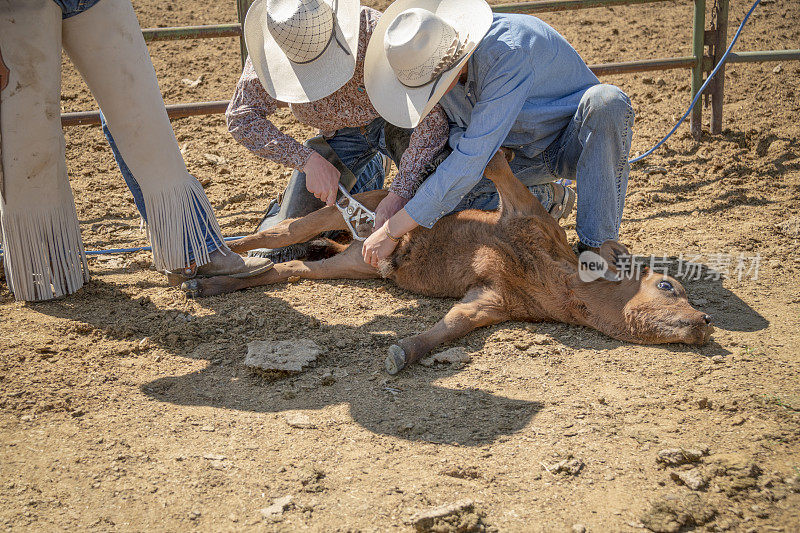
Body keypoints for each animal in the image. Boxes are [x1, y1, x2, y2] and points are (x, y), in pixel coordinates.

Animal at [184, 152, 716, 372]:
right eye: (667, 286)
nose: (705, 321)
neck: (557, 276)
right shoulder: (523, 213)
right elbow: (500, 167)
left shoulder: (492, 301)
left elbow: (452, 324)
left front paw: (403, 352)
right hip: (342, 206)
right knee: (281, 234)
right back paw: (202, 263)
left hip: (349, 265)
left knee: (290, 268)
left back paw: (209, 285)